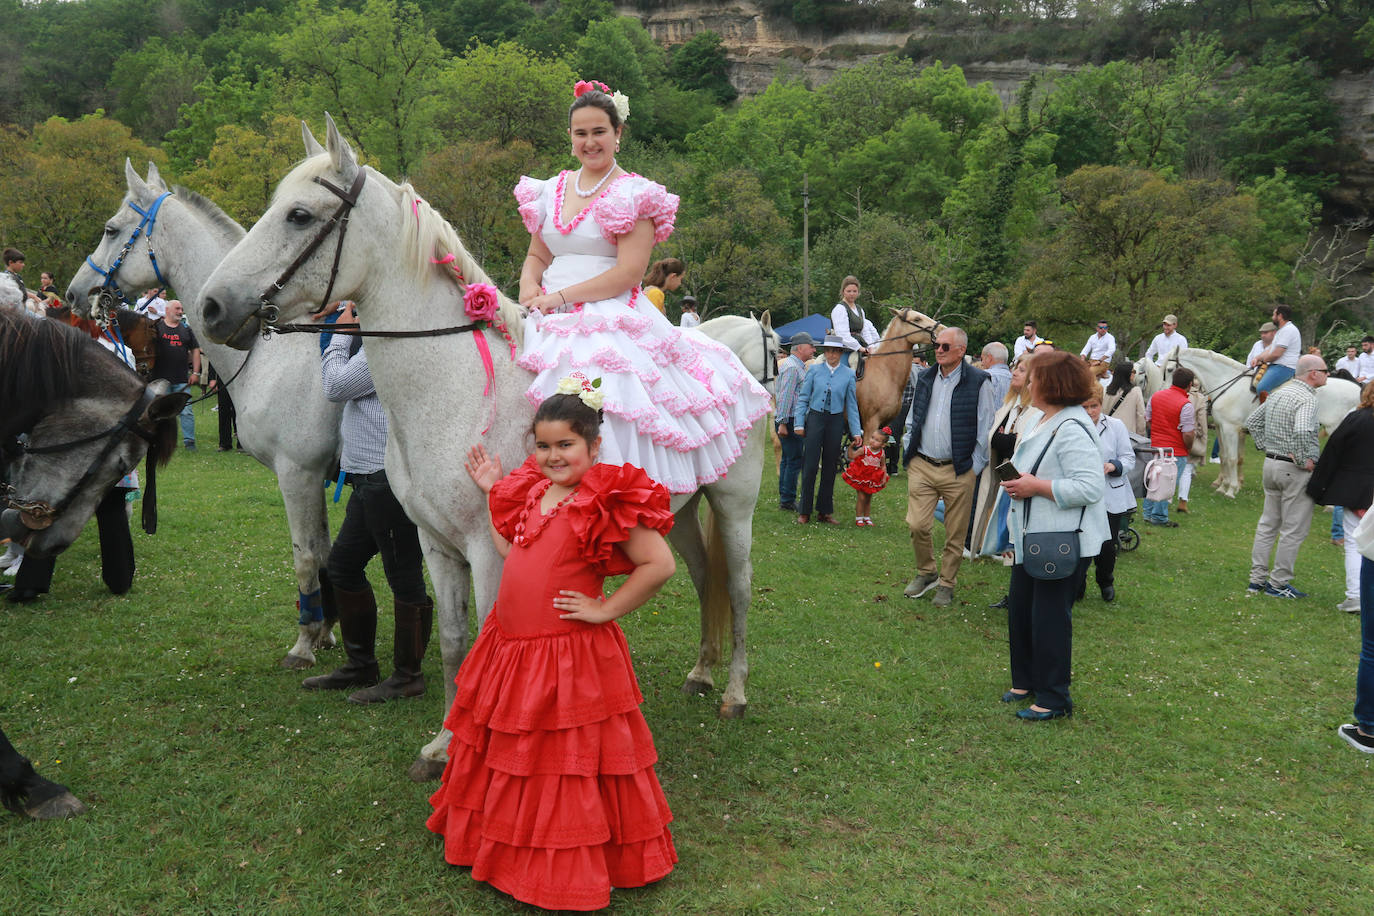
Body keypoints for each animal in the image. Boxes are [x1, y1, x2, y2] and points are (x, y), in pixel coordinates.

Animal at [64, 162, 346, 667]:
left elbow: (306, 558)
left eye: (111, 229)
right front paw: (326, 632)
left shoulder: (298, 473)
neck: (270, 353)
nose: (75, 293)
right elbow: (324, 551)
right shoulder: (313, 476)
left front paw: (304, 643)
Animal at [197, 118, 769, 780]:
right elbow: (453, 645)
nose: (211, 307)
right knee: (706, 581)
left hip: (734, 507)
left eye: (298, 215)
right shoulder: (436, 544)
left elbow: (495, 643)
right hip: (679, 510)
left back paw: (735, 694)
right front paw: (444, 745)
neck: (456, 386)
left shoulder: (491, 551)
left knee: (740, 590)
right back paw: (700, 673)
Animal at [1170, 347, 1363, 497]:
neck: (1228, 385)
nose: (1168, 389)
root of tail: (1359, 390)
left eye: (1170, 369)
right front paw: (1225, 485)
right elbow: (1229, 457)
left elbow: (1232, 458)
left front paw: (1230, 489)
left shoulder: (1230, 428)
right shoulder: (1226, 428)